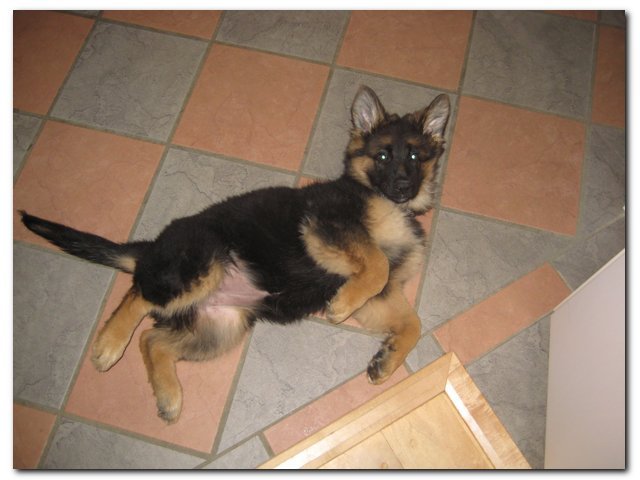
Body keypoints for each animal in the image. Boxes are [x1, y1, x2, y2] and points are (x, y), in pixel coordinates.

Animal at [20, 86, 450, 424]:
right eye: (383, 156)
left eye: (414, 157)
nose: (402, 187)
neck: (386, 204)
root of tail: (152, 247)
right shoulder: (327, 225)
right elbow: (376, 264)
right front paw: (341, 306)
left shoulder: (380, 297)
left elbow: (412, 322)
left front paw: (387, 360)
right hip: (203, 263)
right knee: (138, 295)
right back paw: (110, 344)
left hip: (220, 326)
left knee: (151, 339)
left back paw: (168, 396)